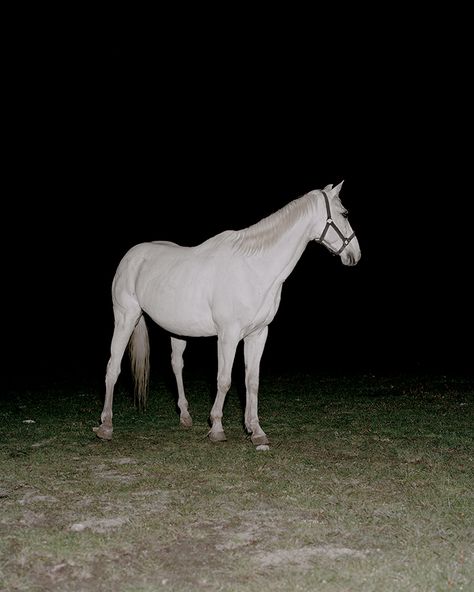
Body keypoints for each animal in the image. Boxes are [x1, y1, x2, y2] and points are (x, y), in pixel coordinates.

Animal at [95, 183, 360, 446]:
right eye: (345, 213)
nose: (355, 255)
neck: (254, 269)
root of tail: (131, 256)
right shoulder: (228, 335)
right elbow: (224, 380)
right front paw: (217, 428)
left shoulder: (258, 334)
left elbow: (252, 382)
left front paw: (256, 431)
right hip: (125, 318)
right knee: (112, 367)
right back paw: (106, 426)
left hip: (177, 330)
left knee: (176, 365)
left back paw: (185, 416)